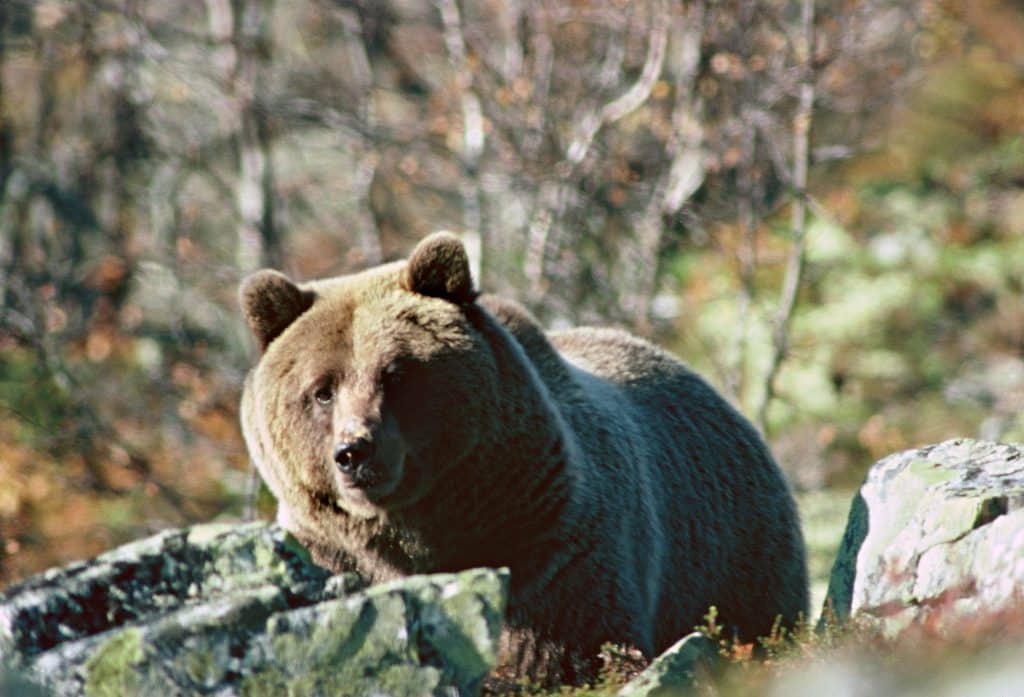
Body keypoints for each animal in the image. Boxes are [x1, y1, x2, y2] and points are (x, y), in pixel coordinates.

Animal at [239, 231, 806, 683]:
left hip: (736, 555)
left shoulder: (545, 536)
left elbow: (566, 646)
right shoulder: (329, 551)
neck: (424, 528)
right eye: (322, 390)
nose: (354, 451)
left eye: (395, 373)